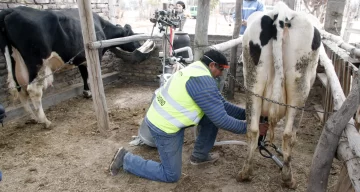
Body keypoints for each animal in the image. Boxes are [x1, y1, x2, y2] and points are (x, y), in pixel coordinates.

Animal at [0, 6, 150, 128]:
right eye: (131, 35)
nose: (139, 46)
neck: (101, 27)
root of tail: (11, 10)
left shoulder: (81, 58)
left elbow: (84, 75)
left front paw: (86, 92)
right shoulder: (96, 55)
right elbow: (92, 75)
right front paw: (94, 93)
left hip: (15, 62)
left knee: (20, 90)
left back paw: (33, 117)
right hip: (37, 62)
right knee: (33, 90)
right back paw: (45, 121)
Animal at [238, 1, 322, 189]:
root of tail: (281, 12)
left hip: (253, 79)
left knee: (252, 129)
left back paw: (245, 173)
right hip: (300, 86)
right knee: (289, 135)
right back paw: (288, 179)